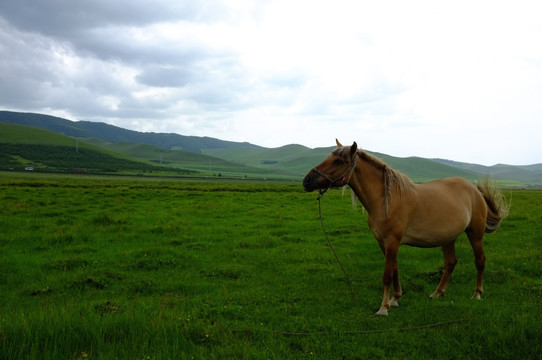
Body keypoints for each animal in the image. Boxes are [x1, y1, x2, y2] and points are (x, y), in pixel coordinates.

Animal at [304, 139, 512, 316]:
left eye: (338, 161)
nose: (307, 181)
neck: (386, 200)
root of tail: (474, 190)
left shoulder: (392, 241)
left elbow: (387, 274)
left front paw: (384, 308)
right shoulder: (383, 242)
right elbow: (395, 269)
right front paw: (395, 299)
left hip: (475, 234)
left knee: (480, 261)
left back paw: (477, 294)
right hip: (448, 238)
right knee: (450, 263)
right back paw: (437, 293)